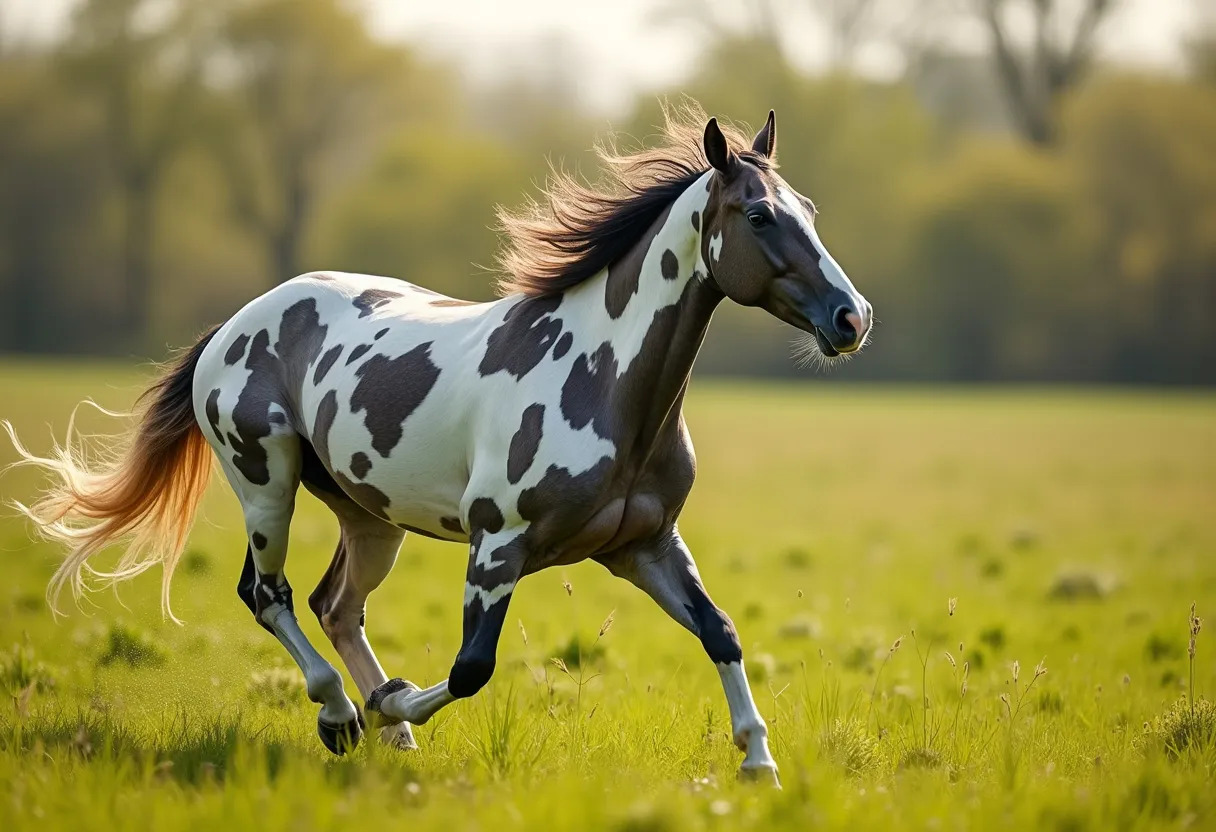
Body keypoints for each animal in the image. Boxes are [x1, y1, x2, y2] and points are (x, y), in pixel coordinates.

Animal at [4, 107, 870, 783]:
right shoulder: (498, 546)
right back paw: (345, 715)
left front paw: (758, 762)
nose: (851, 317)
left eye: (812, 209)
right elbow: (469, 668)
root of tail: (235, 324)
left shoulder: (646, 545)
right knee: (269, 595)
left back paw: (379, 728)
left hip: (368, 517)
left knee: (334, 605)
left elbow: (721, 631)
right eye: (758, 216)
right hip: (264, 482)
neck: (605, 384)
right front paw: (392, 702)